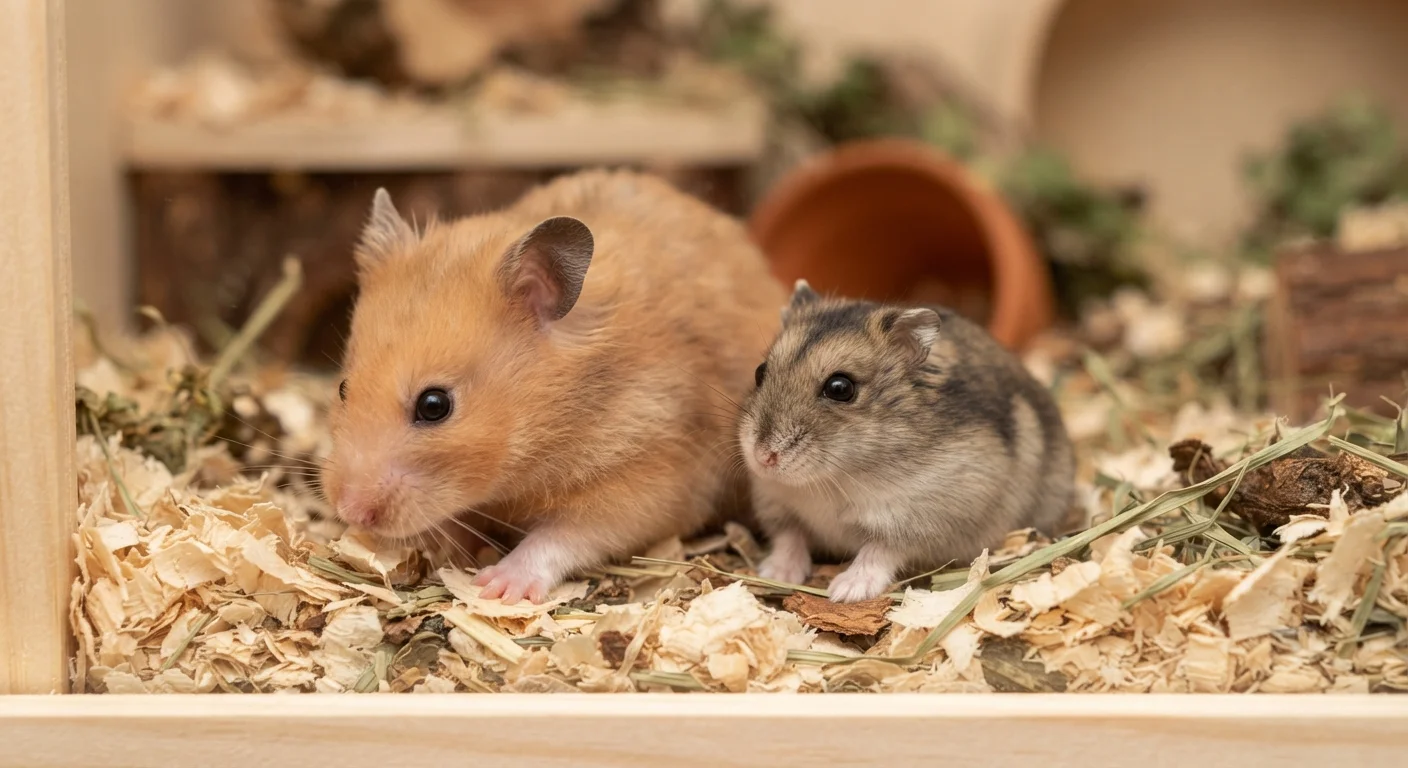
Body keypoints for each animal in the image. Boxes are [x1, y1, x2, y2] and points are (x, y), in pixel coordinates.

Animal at [323, 170, 786, 603]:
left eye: (434, 405)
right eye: (343, 388)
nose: (351, 511)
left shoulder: (651, 479)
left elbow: (562, 536)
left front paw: (496, 586)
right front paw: (442, 545)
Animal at [738, 281, 1075, 603]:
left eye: (840, 388)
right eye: (759, 372)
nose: (763, 457)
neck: (833, 478)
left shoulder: (924, 518)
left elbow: (880, 550)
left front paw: (845, 592)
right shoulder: (775, 503)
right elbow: (789, 537)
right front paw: (774, 573)